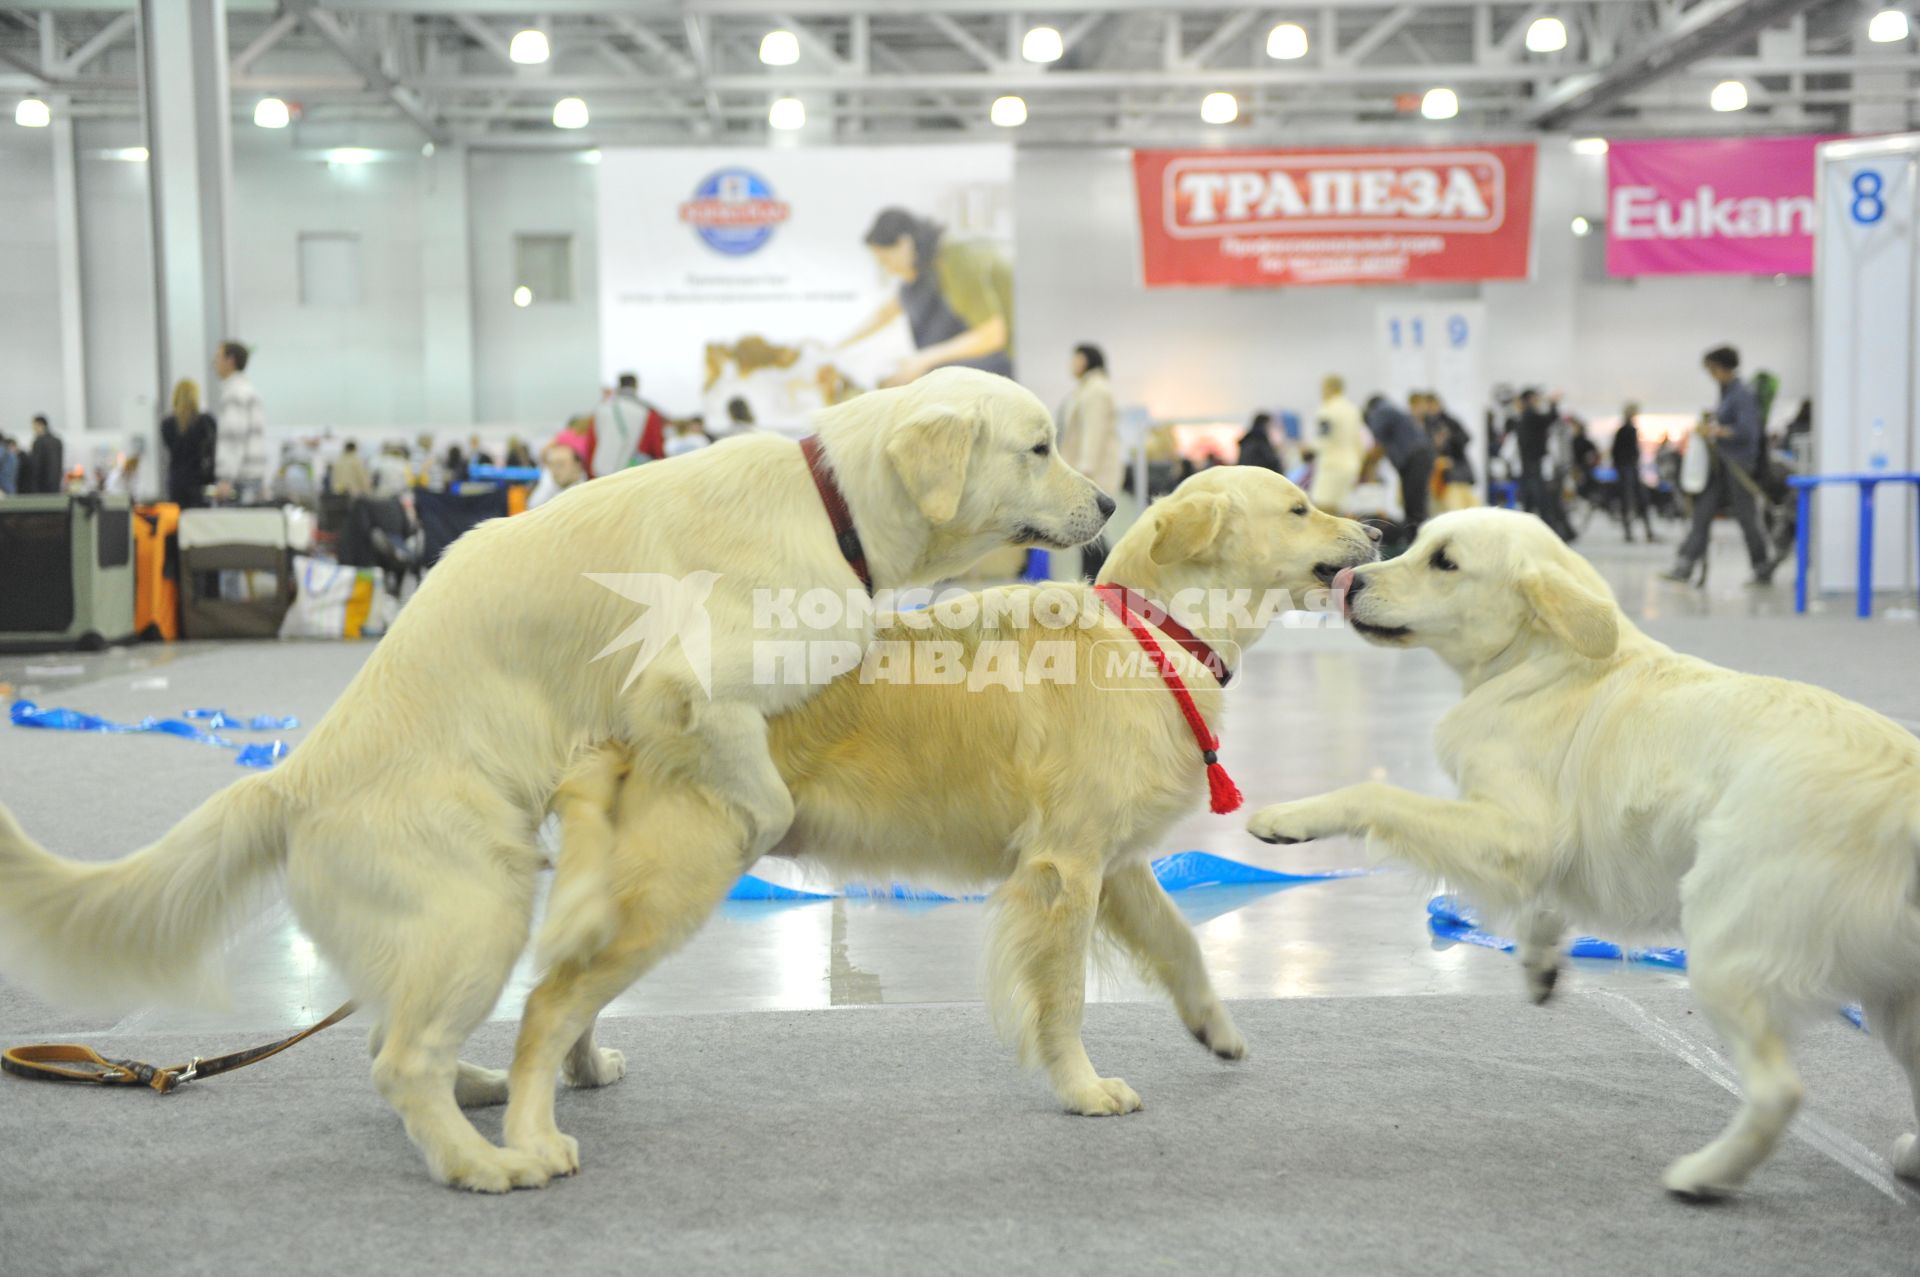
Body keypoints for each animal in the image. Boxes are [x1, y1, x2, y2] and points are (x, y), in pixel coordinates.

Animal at [0, 362, 1113, 1190]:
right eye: (1040, 444)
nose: (1108, 500)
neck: (831, 503)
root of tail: (290, 777)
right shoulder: (689, 682)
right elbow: (760, 792)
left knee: (394, 1041)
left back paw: (485, 1089)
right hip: (479, 905)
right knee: (401, 1062)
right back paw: (485, 1163)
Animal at [503, 468, 1382, 1175]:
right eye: (1299, 507)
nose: (1378, 531)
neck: (1149, 635)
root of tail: (620, 711)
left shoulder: (1118, 862)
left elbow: (1181, 943)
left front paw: (1215, 1028)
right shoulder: (1065, 869)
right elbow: (1064, 998)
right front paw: (1083, 1087)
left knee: (570, 988)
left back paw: (584, 1070)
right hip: (679, 881)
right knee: (546, 1002)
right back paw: (533, 1137)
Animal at [1244, 503, 1920, 1198]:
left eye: (1445, 562)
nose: (1348, 582)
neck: (1538, 660)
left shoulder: (1518, 830)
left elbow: (1376, 795)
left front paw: (1287, 818)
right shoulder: (1541, 845)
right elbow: (1544, 901)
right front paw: (1541, 960)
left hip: (1727, 950)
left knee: (1779, 1091)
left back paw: (1703, 1175)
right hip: (1898, 1004)